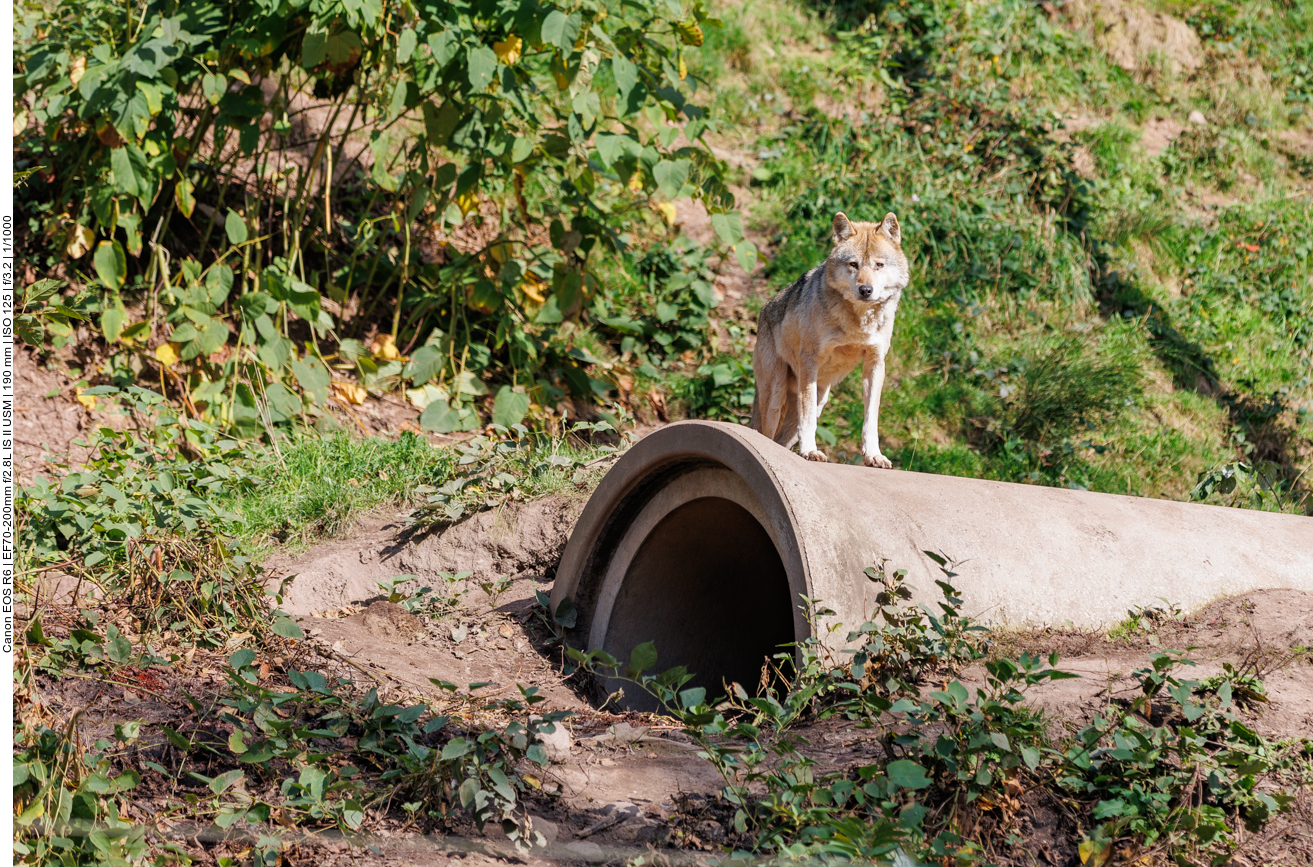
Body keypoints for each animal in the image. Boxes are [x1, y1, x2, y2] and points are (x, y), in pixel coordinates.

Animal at [749, 211, 909, 468]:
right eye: (853, 264)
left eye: (879, 265)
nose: (866, 290)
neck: (857, 322)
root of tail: (764, 309)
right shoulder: (809, 360)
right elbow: (808, 423)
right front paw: (810, 451)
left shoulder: (875, 364)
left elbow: (870, 420)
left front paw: (874, 455)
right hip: (776, 397)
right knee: (765, 433)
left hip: (819, 400)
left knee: (782, 440)